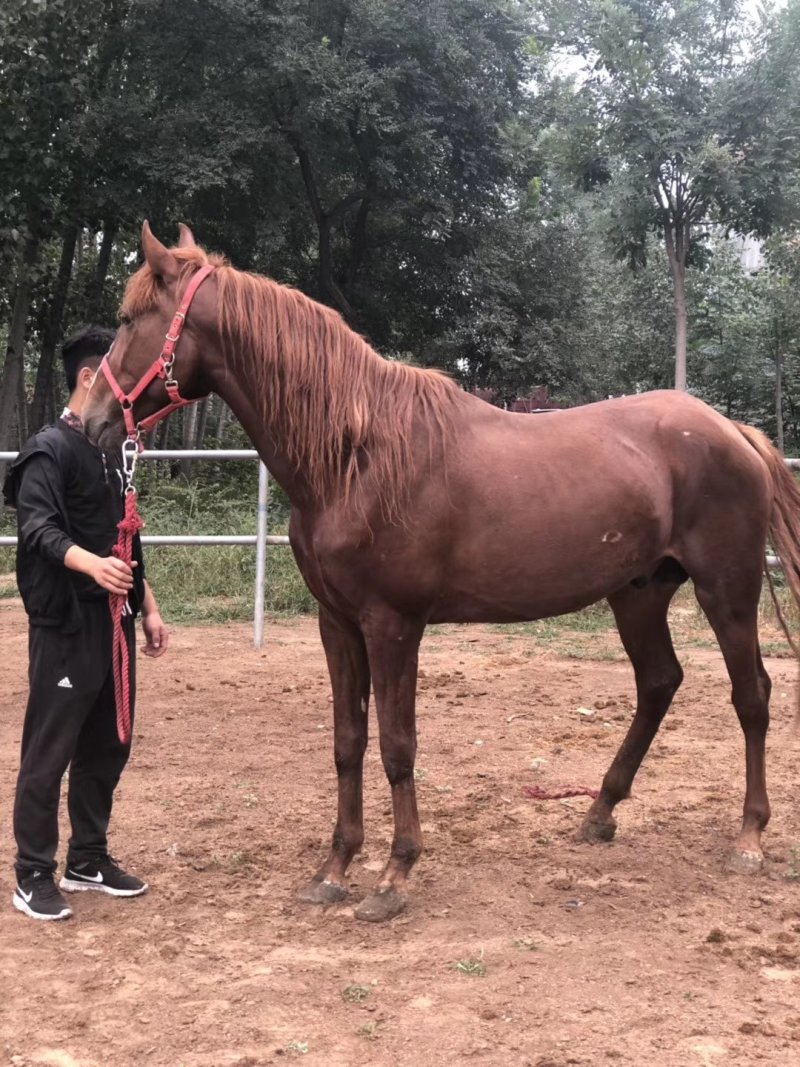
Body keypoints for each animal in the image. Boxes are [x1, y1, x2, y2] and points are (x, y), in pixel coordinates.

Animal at [83, 221, 800, 923]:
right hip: (639, 593)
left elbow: (398, 745)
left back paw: (747, 837)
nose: (87, 421)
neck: (355, 455)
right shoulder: (337, 623)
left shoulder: (393, 624)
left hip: (727, 590)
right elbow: (348, 741)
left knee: (752, 695)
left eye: (128, 318)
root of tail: (732, 430)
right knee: (658, 683)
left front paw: (394, 875)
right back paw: (599, 813)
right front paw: (334, 868)